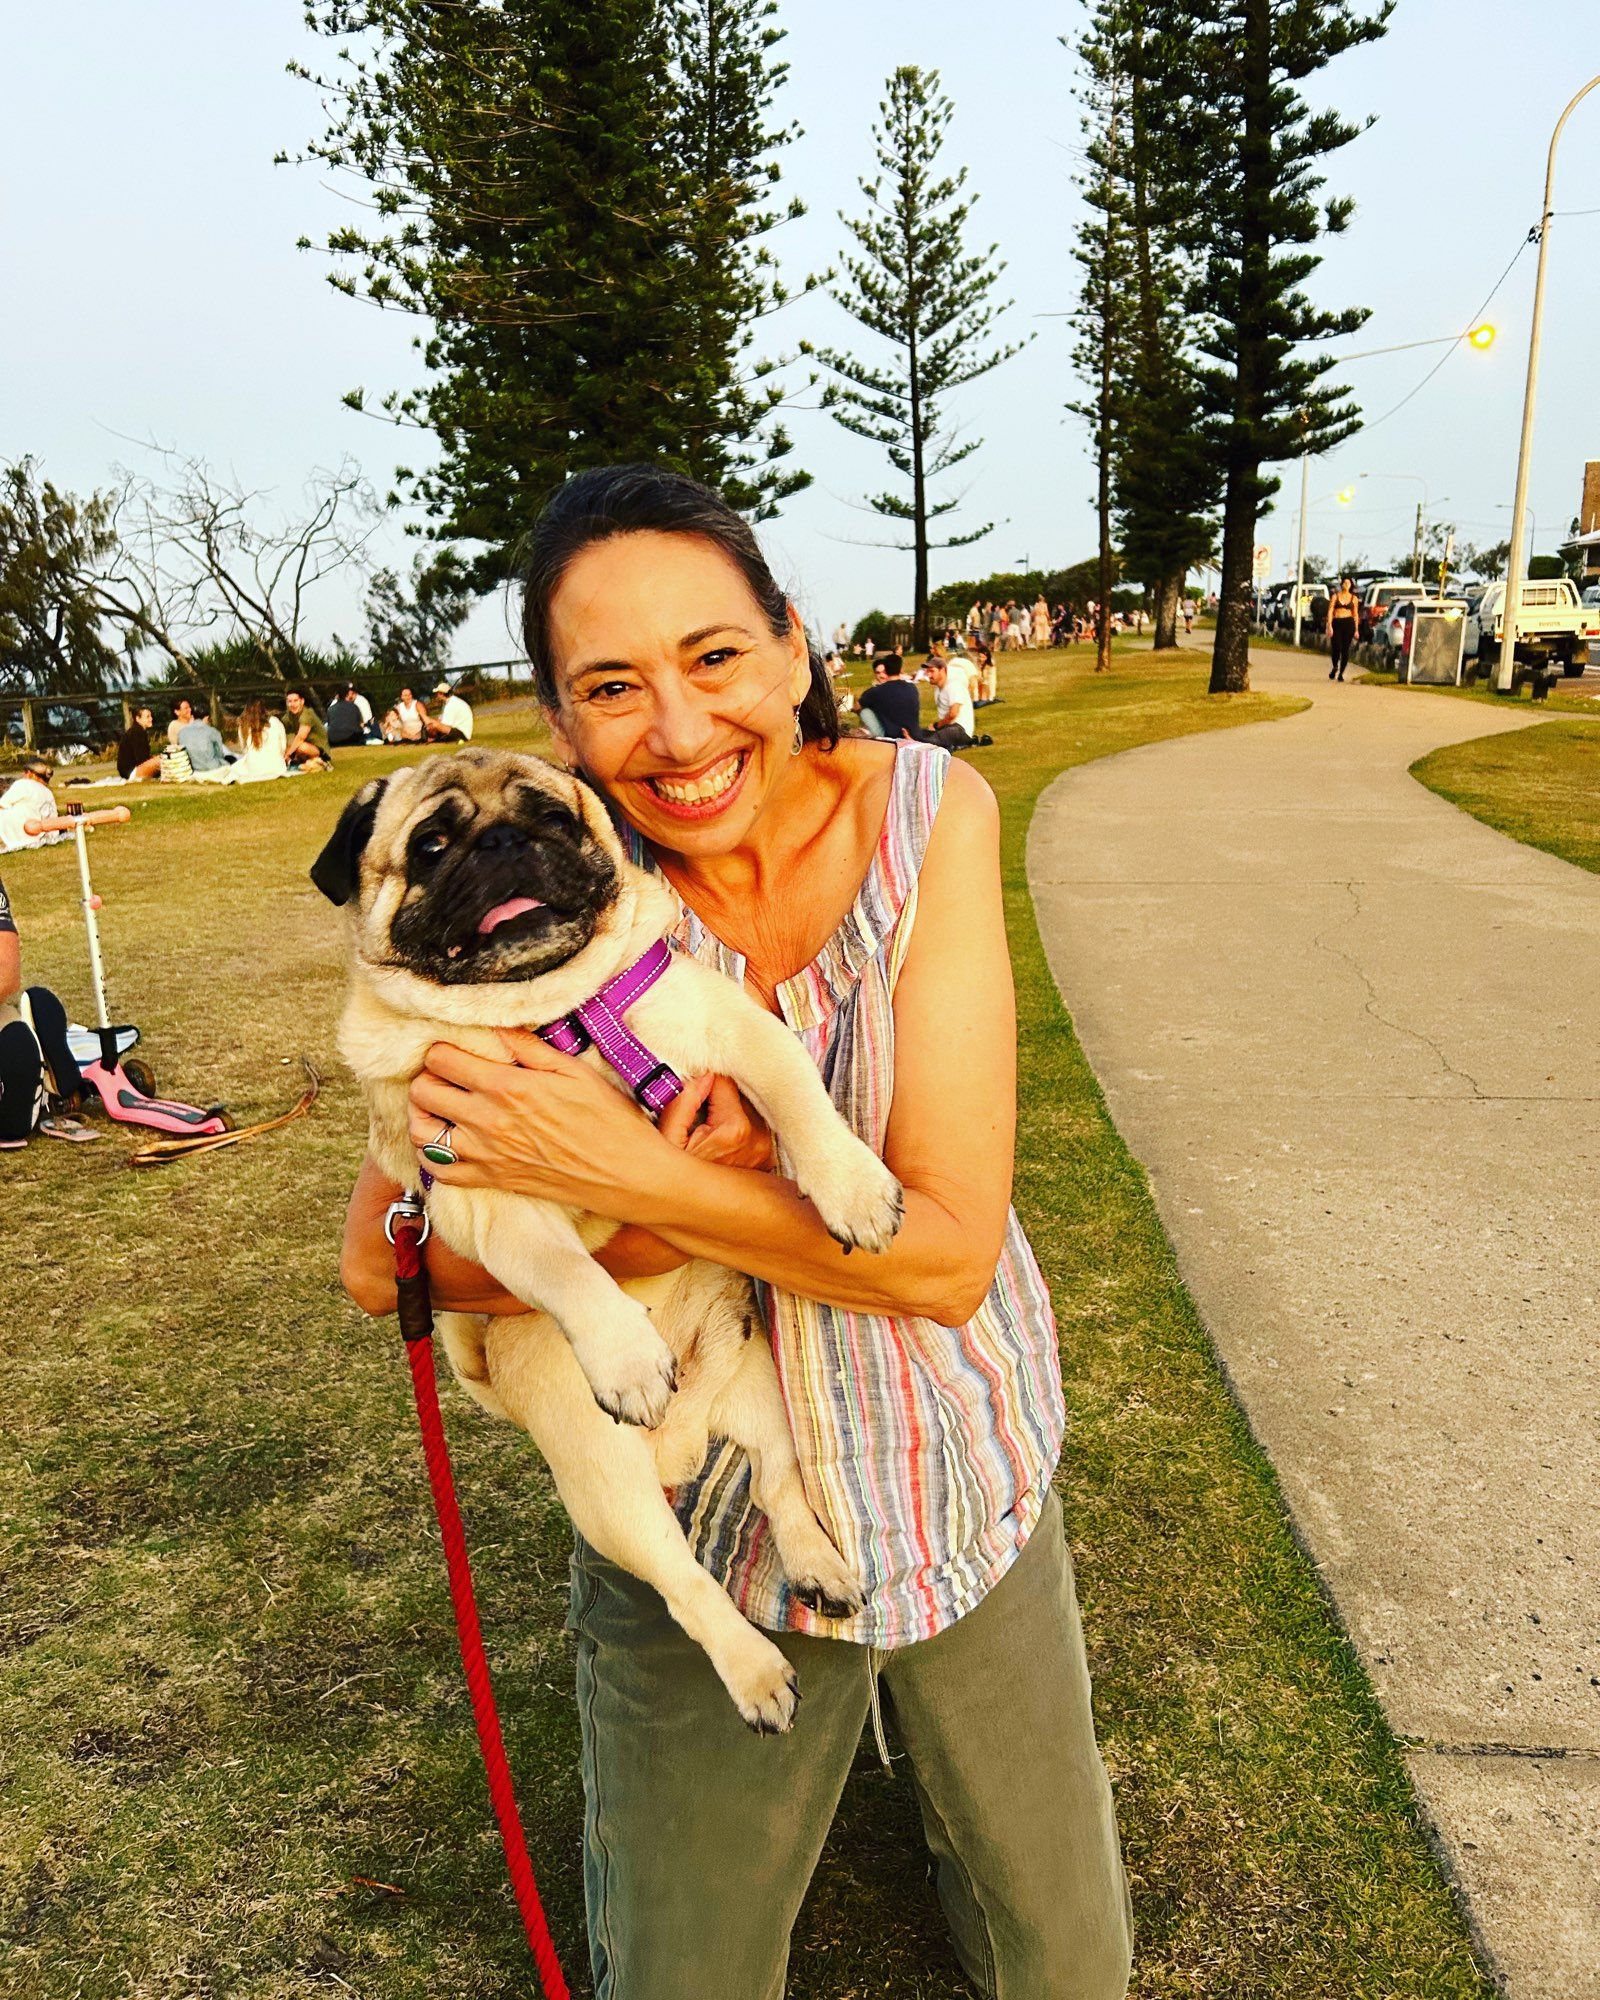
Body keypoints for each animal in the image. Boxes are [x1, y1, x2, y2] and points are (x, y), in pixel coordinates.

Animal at [316, 744, 900, 1728]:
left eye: (553, 816)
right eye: (431, 845)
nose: (503, 842)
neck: (547, 1017)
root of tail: (686, 1439)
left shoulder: (736, 1032)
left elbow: (801, 1102)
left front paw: (851, 1186)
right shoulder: (486, 1194)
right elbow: (567, 1272)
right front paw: (627, 1359)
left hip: (763, 1395)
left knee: (781, 1487)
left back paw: (820, 1569)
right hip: (610, 1491)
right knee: (688, 1585)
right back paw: (756, 1671)